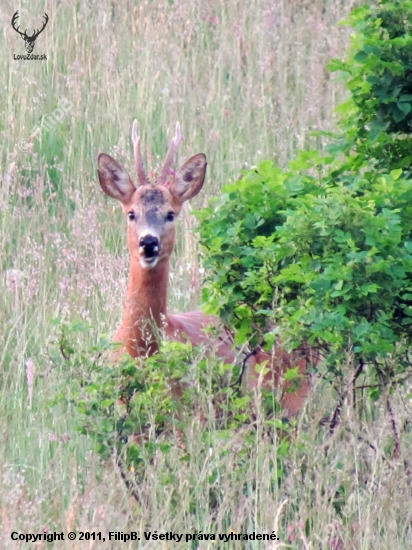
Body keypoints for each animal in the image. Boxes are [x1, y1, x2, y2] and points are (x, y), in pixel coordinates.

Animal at [98, 124, 310, 418]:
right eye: (131, 213)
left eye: (170, 214)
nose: (148, 242)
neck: (140, 349)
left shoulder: (185, 412)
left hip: (290, 398)